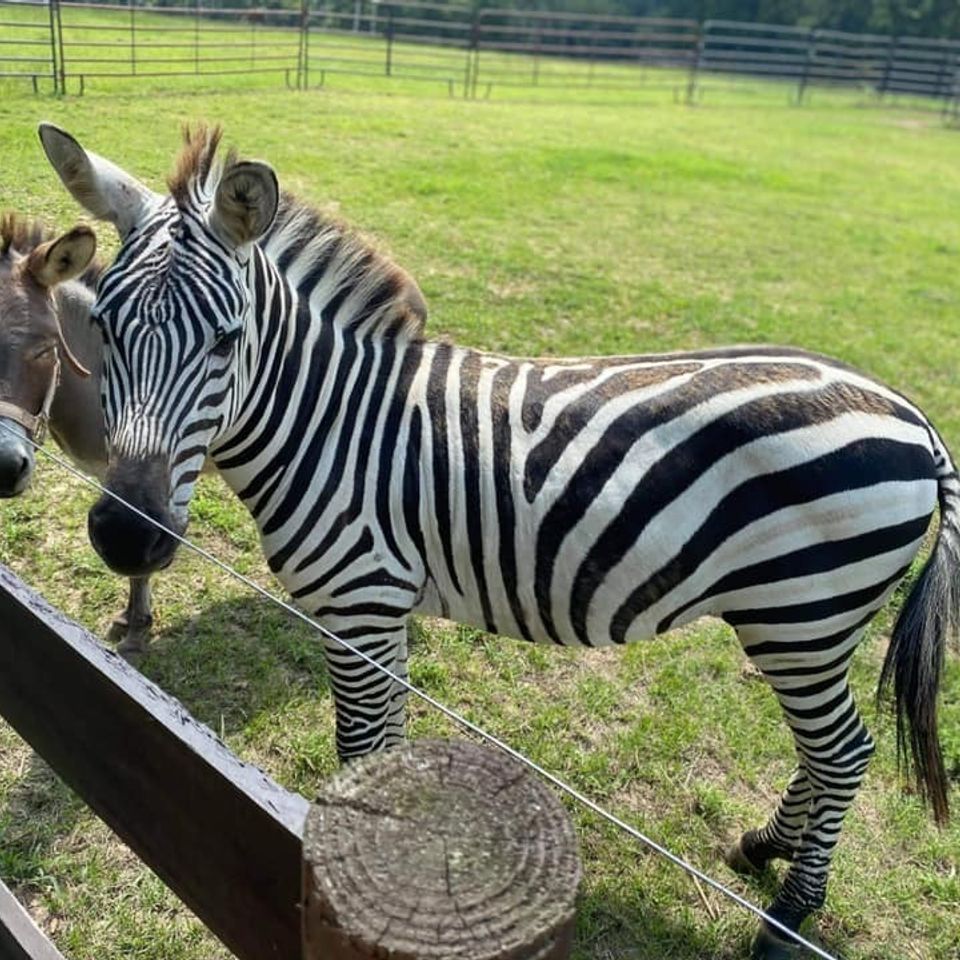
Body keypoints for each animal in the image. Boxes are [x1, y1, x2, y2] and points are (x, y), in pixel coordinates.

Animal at [40, 121, 956, 959]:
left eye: (227, 340)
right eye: (104, 325)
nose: (126, 535)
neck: (331, 424)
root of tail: (912, 415)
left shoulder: (362, 604)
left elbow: (360, 744)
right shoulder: (377, 611)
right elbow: (382, 741)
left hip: (805, 612)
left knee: (844, 751)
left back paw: (790, 914)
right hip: (796, 622)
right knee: (822, 750)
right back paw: (764, 846)